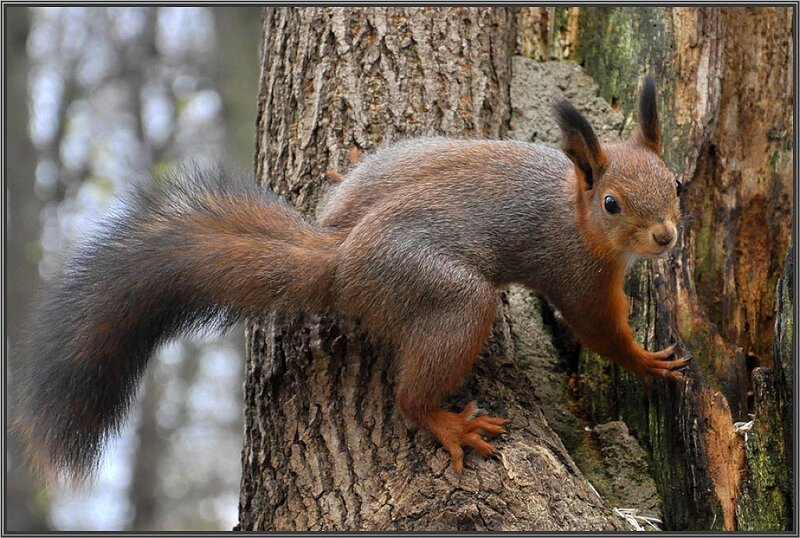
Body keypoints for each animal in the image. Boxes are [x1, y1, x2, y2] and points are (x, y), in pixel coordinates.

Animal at [15, 74, 687, 481]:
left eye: (677, 183)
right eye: (612, 205)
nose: (667, 237)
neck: (574, 205)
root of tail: (339, 259)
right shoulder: (576, 273)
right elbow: (599, 330)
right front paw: (649, 361)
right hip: (451, 298)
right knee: (409, 395)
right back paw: (448, 423)